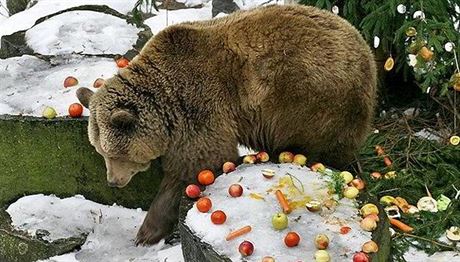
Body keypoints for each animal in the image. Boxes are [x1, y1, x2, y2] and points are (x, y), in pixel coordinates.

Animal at [76, 4, 378, 246]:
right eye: (101, 151)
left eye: (115, 153)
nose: (113, 181)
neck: (166, 104)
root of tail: (364, 46)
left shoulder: (199, 107)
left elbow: (198, 164)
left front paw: (147, 231)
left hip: (312, 101)